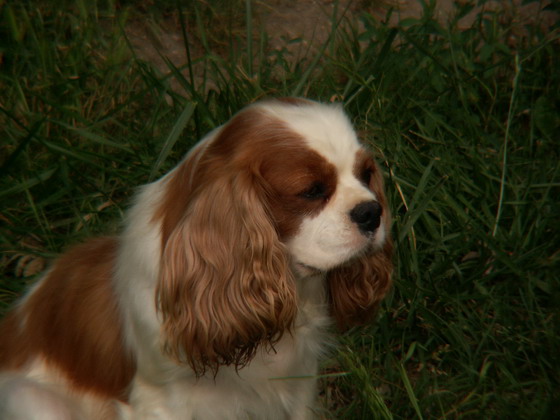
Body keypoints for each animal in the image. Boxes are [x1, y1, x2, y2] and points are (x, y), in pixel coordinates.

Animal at [0, 98, 392, 419]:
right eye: (311, 191)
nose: (372, 212)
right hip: (37, 401)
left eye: (365, 174)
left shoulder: (297, 387)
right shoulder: (161, 400)